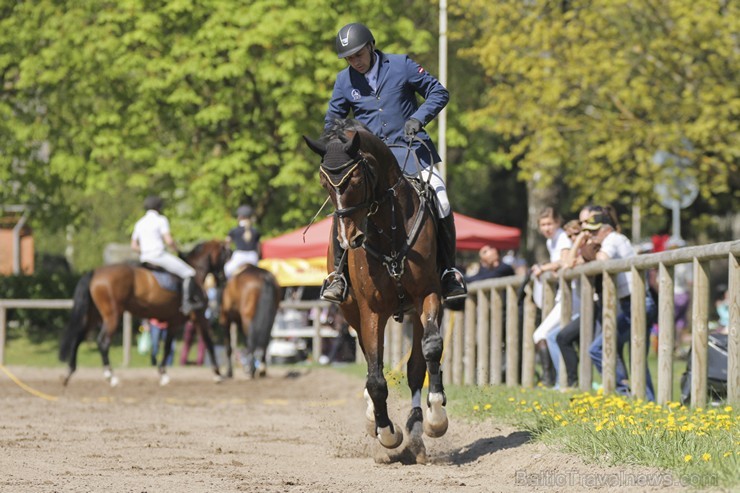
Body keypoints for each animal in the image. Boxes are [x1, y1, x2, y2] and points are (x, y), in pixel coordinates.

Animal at [59, 240, 228, 386]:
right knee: (103, 342)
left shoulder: (175, 321)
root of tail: (95, 272)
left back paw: (68, 373)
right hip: (112, 316)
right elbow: (207, 343)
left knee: (78, 338)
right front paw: (217, 374)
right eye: (226, 255)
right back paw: (111, 376)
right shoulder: (193, 318)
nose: (223, 279)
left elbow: (168, 347)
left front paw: (163, 374)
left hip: (94, 316)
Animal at [304, 118, 448, 462]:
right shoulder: (371, 311)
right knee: (373, 365)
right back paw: (377, 419)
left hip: (412, 312)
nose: (349, 239)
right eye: (324, 183)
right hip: (352, 312)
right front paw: (386, 432)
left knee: (415, 367)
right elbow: (375, 377)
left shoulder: (427, 296)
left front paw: (435, 417)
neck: (388, 227)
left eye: (356, 177)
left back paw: (417, 431)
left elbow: (430, 350)